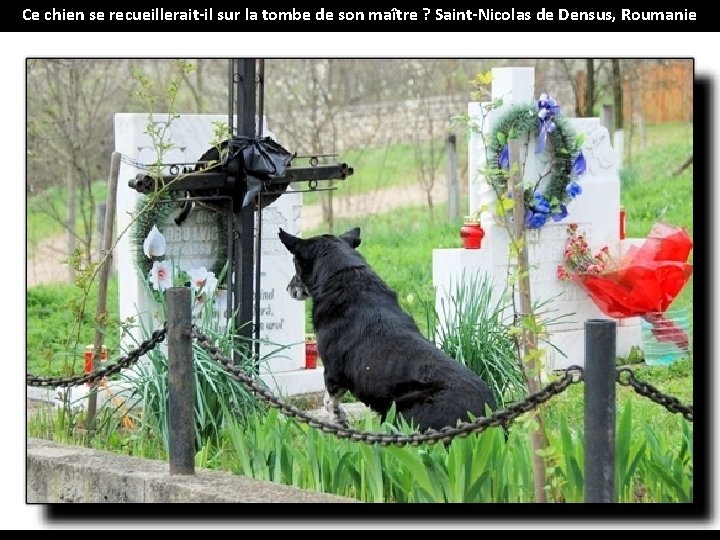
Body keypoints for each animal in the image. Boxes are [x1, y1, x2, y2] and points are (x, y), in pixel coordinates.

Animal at [278, 227, 498, 430]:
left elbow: (330, 402)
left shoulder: (333, 372)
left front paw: (339, 422)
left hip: (399, 411)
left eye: (295, 263)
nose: (287, 288)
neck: (345, 274)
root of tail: (483, 416)